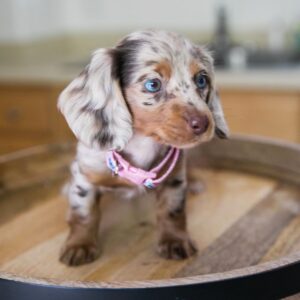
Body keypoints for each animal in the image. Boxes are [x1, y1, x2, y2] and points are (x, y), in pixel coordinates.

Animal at [57, 29, 229, 266]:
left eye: (201, 80)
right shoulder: (84, 177)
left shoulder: (174, 178)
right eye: (153, 84)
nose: (203, 123)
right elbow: (84, 214)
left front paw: (175, 240)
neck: (143, 143)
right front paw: (79, 245)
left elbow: (172, 212)